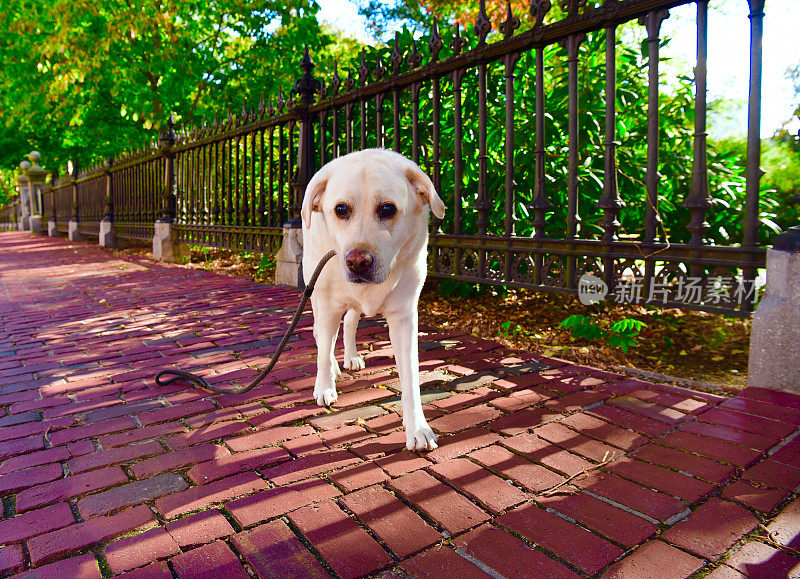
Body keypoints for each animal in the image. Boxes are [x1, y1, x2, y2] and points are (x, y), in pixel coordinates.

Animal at [304, 147, 446, 450]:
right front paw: (324, 386)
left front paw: (417, 428)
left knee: (349, 322)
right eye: (341, 209)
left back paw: (351, 356)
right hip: (315, 294)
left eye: (388, 209)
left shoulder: (404, 317)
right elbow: (323, 348)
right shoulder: (328, 304)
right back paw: (332, 368)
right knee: (321, 335)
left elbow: (411, 377)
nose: (358, 262)